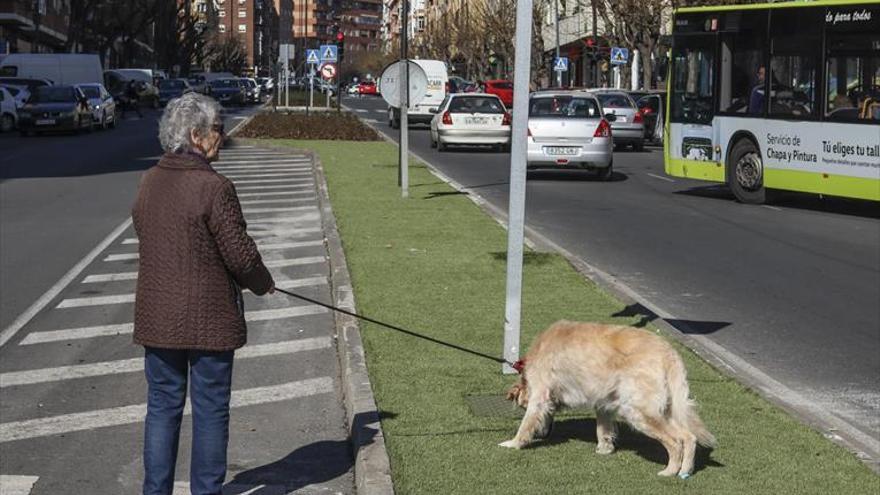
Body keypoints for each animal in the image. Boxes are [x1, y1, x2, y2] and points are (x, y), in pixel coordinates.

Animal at [502, 320, 716, 478]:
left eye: (523, 407)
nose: (542, 435)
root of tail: (669, 352)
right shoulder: (604, 403)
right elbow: (603, 429)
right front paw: (605, 448)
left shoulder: (540, 396)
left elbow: (525, 424)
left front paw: (514, 443)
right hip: (664, 409)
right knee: (689, 436)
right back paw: (685, 471)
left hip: (639, 412)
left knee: (675, 442)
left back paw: (670, 471)